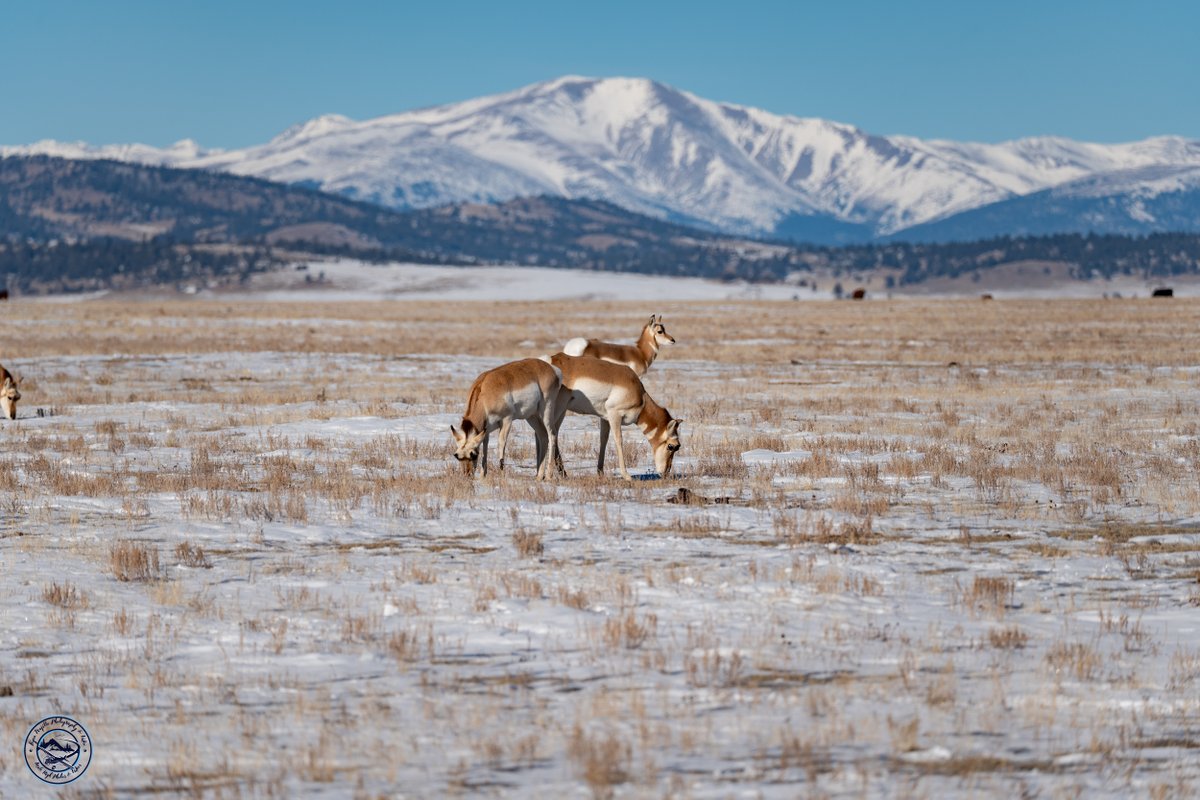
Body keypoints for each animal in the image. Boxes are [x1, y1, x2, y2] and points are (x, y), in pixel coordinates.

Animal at [550, 353, 681, 481]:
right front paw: (626, 476)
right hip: (558, 410)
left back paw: (563, 474)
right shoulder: (615, 415)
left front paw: (600, 473)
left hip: (562, 411)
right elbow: (619, 440)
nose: (666, 472)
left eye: (678, 447)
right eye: (671, 446)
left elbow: (603, 440)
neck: (641, 399)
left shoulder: (605, 418)